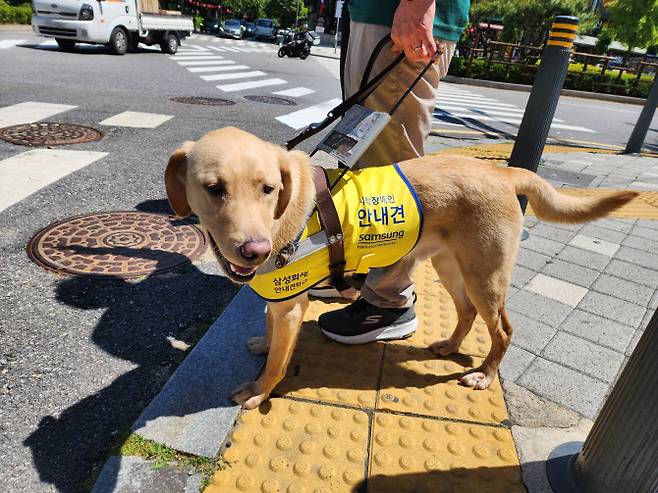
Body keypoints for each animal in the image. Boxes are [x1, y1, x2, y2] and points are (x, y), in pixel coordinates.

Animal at [164, 126, 636, 408]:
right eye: (214, 188)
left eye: (268, 189)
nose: (255, 251)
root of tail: (505, 175)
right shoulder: (277, 298)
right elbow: (267, 326)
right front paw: (263, 344)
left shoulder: (292, 304)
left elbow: (280, 361)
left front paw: (260, 390)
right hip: (452, 268)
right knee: (466, 313)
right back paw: (449, 346)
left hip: (485, 276)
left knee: (503, 330)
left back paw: (484, 376)